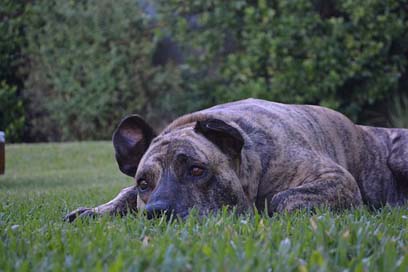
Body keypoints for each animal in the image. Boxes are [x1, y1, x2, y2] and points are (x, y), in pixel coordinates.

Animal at [64, 99, 408, 222]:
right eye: (143, 183)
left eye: (197, 170)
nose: (158, 211)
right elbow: (123, 196)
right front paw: (96, 211)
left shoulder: (336, 179)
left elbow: (283, 199)